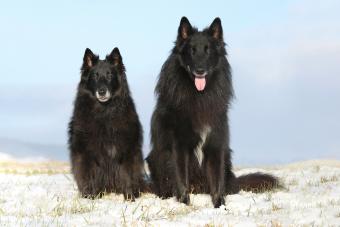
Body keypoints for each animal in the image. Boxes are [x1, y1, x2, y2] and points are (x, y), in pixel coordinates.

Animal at [68, 47, 144, 200]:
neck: (104, 112)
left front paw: (129, 197)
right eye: (95, 76)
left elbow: (127, 174)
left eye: (109, 75)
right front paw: (90, 196)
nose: (102, 91)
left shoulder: (126, 149)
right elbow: (88, 174)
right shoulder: (87, 151)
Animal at [146, 17, 278, 207]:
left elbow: (217, 181)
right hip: (154, 158)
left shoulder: (216, 143)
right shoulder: (178, 146)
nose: (200, 70)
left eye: (208, 51)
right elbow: (181, 179)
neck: (200, 96)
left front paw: (220, 206)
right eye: (192, 50)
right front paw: (185, 204)